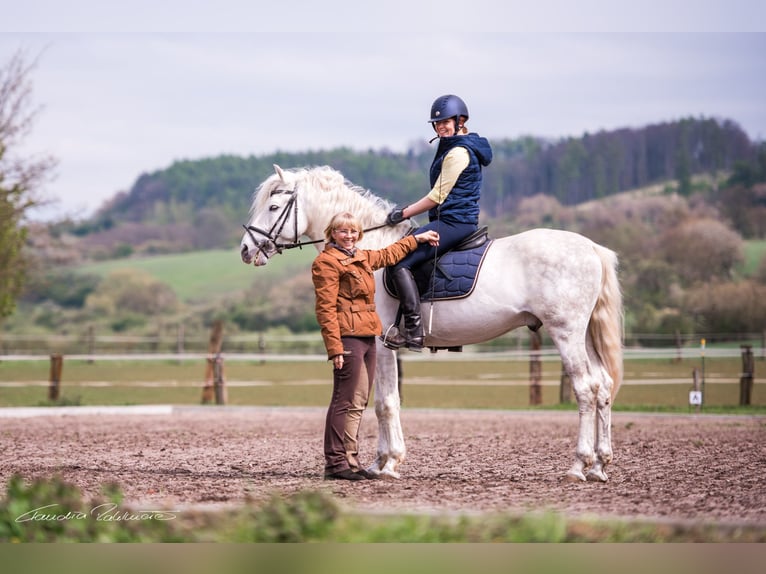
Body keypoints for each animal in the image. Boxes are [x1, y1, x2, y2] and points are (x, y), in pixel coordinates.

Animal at [240, 164, 623, 482]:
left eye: (273, 207)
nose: (245, 250)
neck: (369, 248)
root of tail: (591, 248)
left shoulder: (381, 344)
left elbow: (385, 403)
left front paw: (389, 464)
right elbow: (382, 402)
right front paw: (379, 463)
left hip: (565, 333)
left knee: (585, 389)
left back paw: (579, 465)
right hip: (583, 335)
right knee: (603, 386)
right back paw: (600, 465)